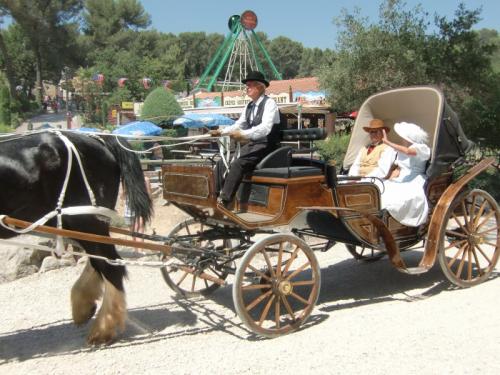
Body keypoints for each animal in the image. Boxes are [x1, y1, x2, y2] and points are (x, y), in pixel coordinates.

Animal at [0, 131, 152, 346]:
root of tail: (97, 138)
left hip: (85, 219)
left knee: (109, 265)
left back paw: (103, 328)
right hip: (74, 222)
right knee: (98, 260)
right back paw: (84, 306)